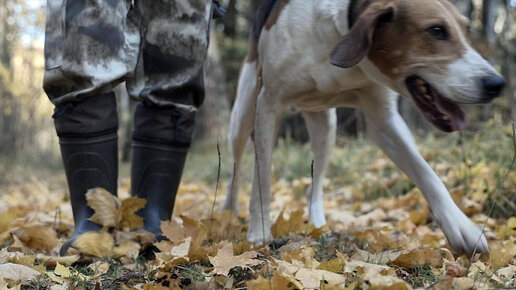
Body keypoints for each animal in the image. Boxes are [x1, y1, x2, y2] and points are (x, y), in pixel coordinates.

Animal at [221, 0, 504, 255]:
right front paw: (259, 232)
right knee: (236, 170)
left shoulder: (385, 122)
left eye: (466, 30)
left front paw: (461, 226)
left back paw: (317, 223)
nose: (496, 83)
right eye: (436, 30)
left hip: (327, 127)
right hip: (242, 117)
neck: (339, 33)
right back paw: (228, 211)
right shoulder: (268, 106)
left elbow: (427, 174)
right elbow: (262, 180)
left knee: (316, 182)